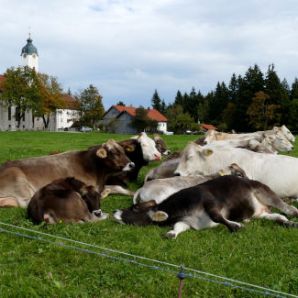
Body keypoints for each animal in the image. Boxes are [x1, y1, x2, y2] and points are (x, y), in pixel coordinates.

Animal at [0, 139, 134, 207]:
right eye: (114, 152)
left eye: (124, 151)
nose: (132, 164)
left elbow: (116, 187)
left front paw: (132, 193)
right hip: (16, 176)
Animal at [113, 176, 298, 239]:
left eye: (134, 209)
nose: (115, 211)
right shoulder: (186, 222)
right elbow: (178, 227)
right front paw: (171, 233)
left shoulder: (210, 202)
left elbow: (218, 217)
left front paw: (235, 225)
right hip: (260, 213)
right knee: (278, 217)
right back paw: (288, 223)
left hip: (263, 191)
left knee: (285, 208)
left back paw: (293, 214)